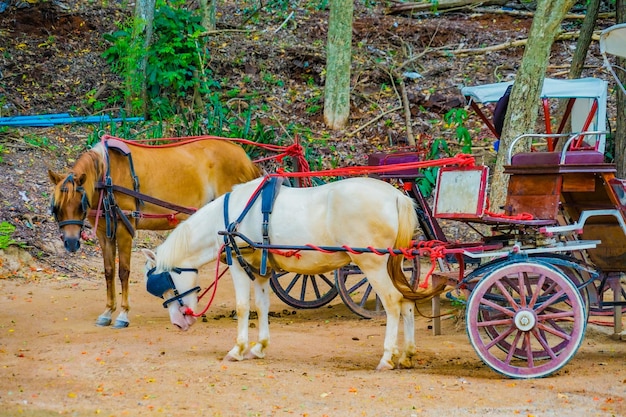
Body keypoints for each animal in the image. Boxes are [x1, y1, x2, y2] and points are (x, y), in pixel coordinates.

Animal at [48, 136, 258, 328]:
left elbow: (124, 271)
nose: (71, 242)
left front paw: (123, 314)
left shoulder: (124, 229)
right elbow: (109, 271)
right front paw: (107, 312)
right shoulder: (103, 233)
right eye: (56, 208)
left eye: (80, 204)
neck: (106, 178)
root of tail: (243, 156)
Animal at [143, 176, 442, 368]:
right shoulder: (261, 271)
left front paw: (237, 350)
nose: (178, 323)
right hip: (394, 263)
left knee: (393, 302)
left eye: (163, 281)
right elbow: (261, 306)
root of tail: (396, 195)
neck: (229, 218)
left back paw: (387, 357)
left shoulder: (239, 266)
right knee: (407, 302)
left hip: (372, 264)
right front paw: (259, 348)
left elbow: (242, 307)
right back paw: (407, 355)